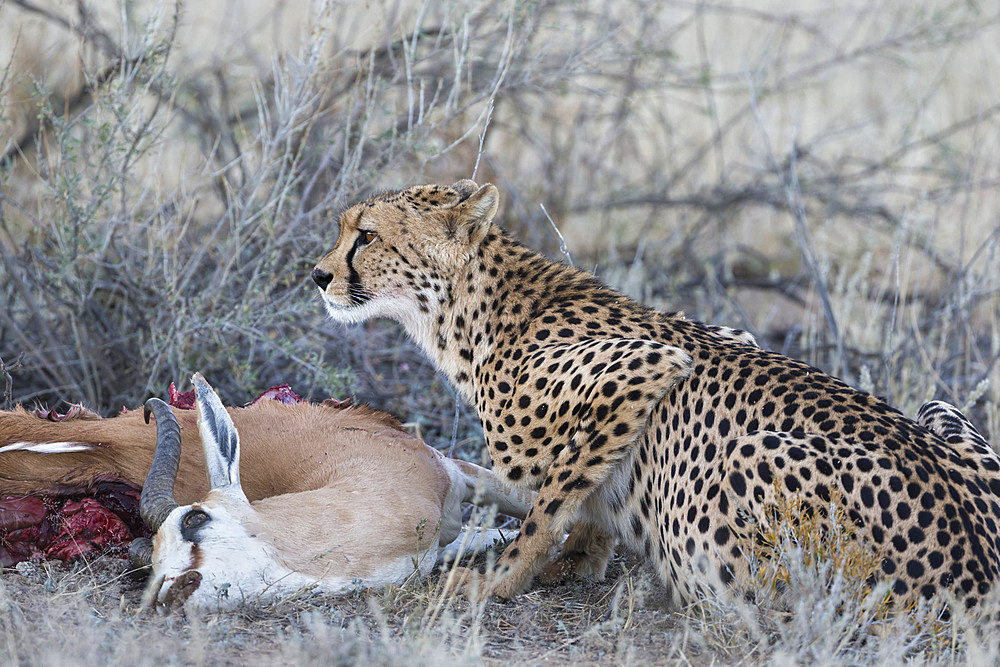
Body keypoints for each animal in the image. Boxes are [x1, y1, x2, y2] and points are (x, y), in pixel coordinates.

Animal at [312, 180, 1000, 608]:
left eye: (366, 235)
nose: (318, 275)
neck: (472, 312)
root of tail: (980, 573)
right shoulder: (730, 334)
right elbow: (583, 495)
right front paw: (583, 556)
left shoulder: (647, 365)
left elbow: (548, 507)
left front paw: (497, 583)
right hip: (939, 409)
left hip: (751, 457)